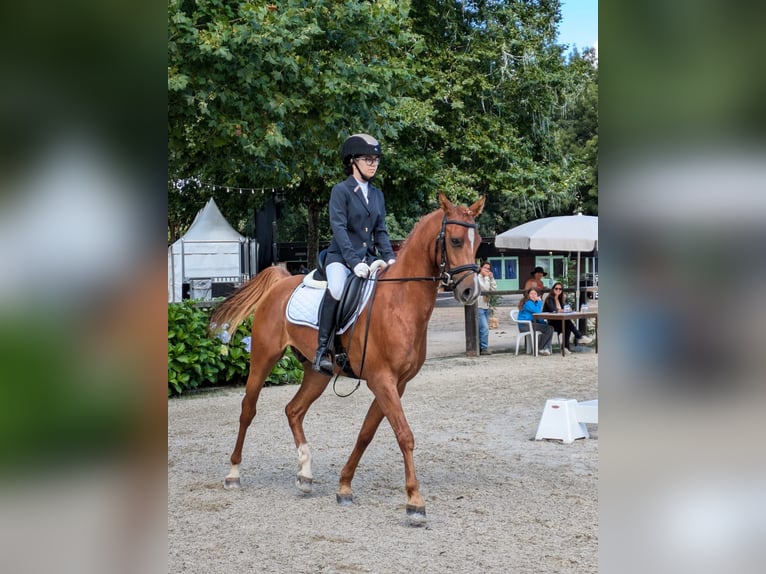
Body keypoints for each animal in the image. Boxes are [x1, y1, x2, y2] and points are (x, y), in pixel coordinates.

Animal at [210, 192, 485, 520]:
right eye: (455, 240)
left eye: (478, 242)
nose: (470, 291)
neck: (400, 301)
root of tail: (281, 281)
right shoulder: (382, 380)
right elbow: (404, 434)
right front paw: (415, 501)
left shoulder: (396, 384)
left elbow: (366, 433)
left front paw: (344, 486)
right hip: (263, 359)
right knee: (248, 410)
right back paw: (233, 473)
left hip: (317, 372)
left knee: (294, 410)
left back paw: (304, 474)